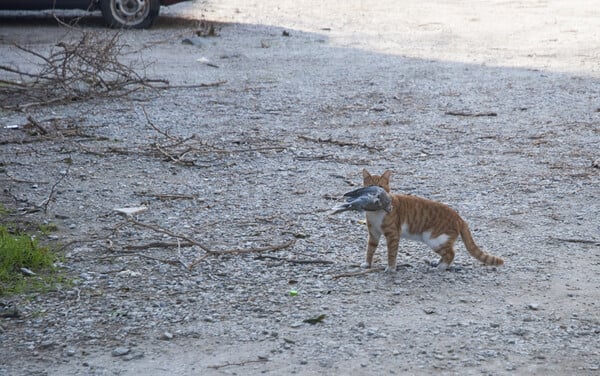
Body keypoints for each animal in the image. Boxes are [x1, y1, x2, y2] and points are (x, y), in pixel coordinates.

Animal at [358, 169, 504, 272]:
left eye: (381, 187)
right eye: (370, 186)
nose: (376, 195)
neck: (375, 213)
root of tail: (459, 217)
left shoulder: (393, 235)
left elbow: (392, 253)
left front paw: (391, 268)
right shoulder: (373, 233)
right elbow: (370, 249)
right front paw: (367, 264)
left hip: (434, 239)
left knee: (451, 253)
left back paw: (440, 267)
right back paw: (437, 263)